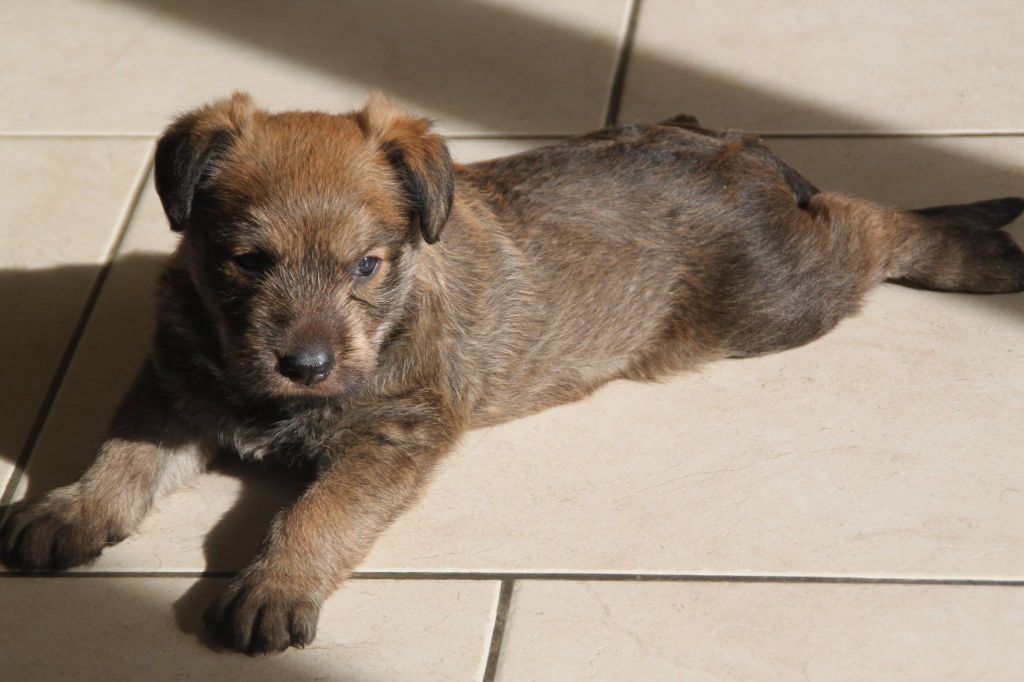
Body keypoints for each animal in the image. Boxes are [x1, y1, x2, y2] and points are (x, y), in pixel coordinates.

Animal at [6, 93, 1024, 651]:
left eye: (366, 265)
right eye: (244, 263)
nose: (305, 363)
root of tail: (740, 151)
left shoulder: (395, 434)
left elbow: (318, 511)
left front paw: (276, 585)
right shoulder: (176, 389)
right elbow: (123, 455)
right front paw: (69, 510)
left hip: (781, 300)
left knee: (872, 227)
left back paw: (974, 242)